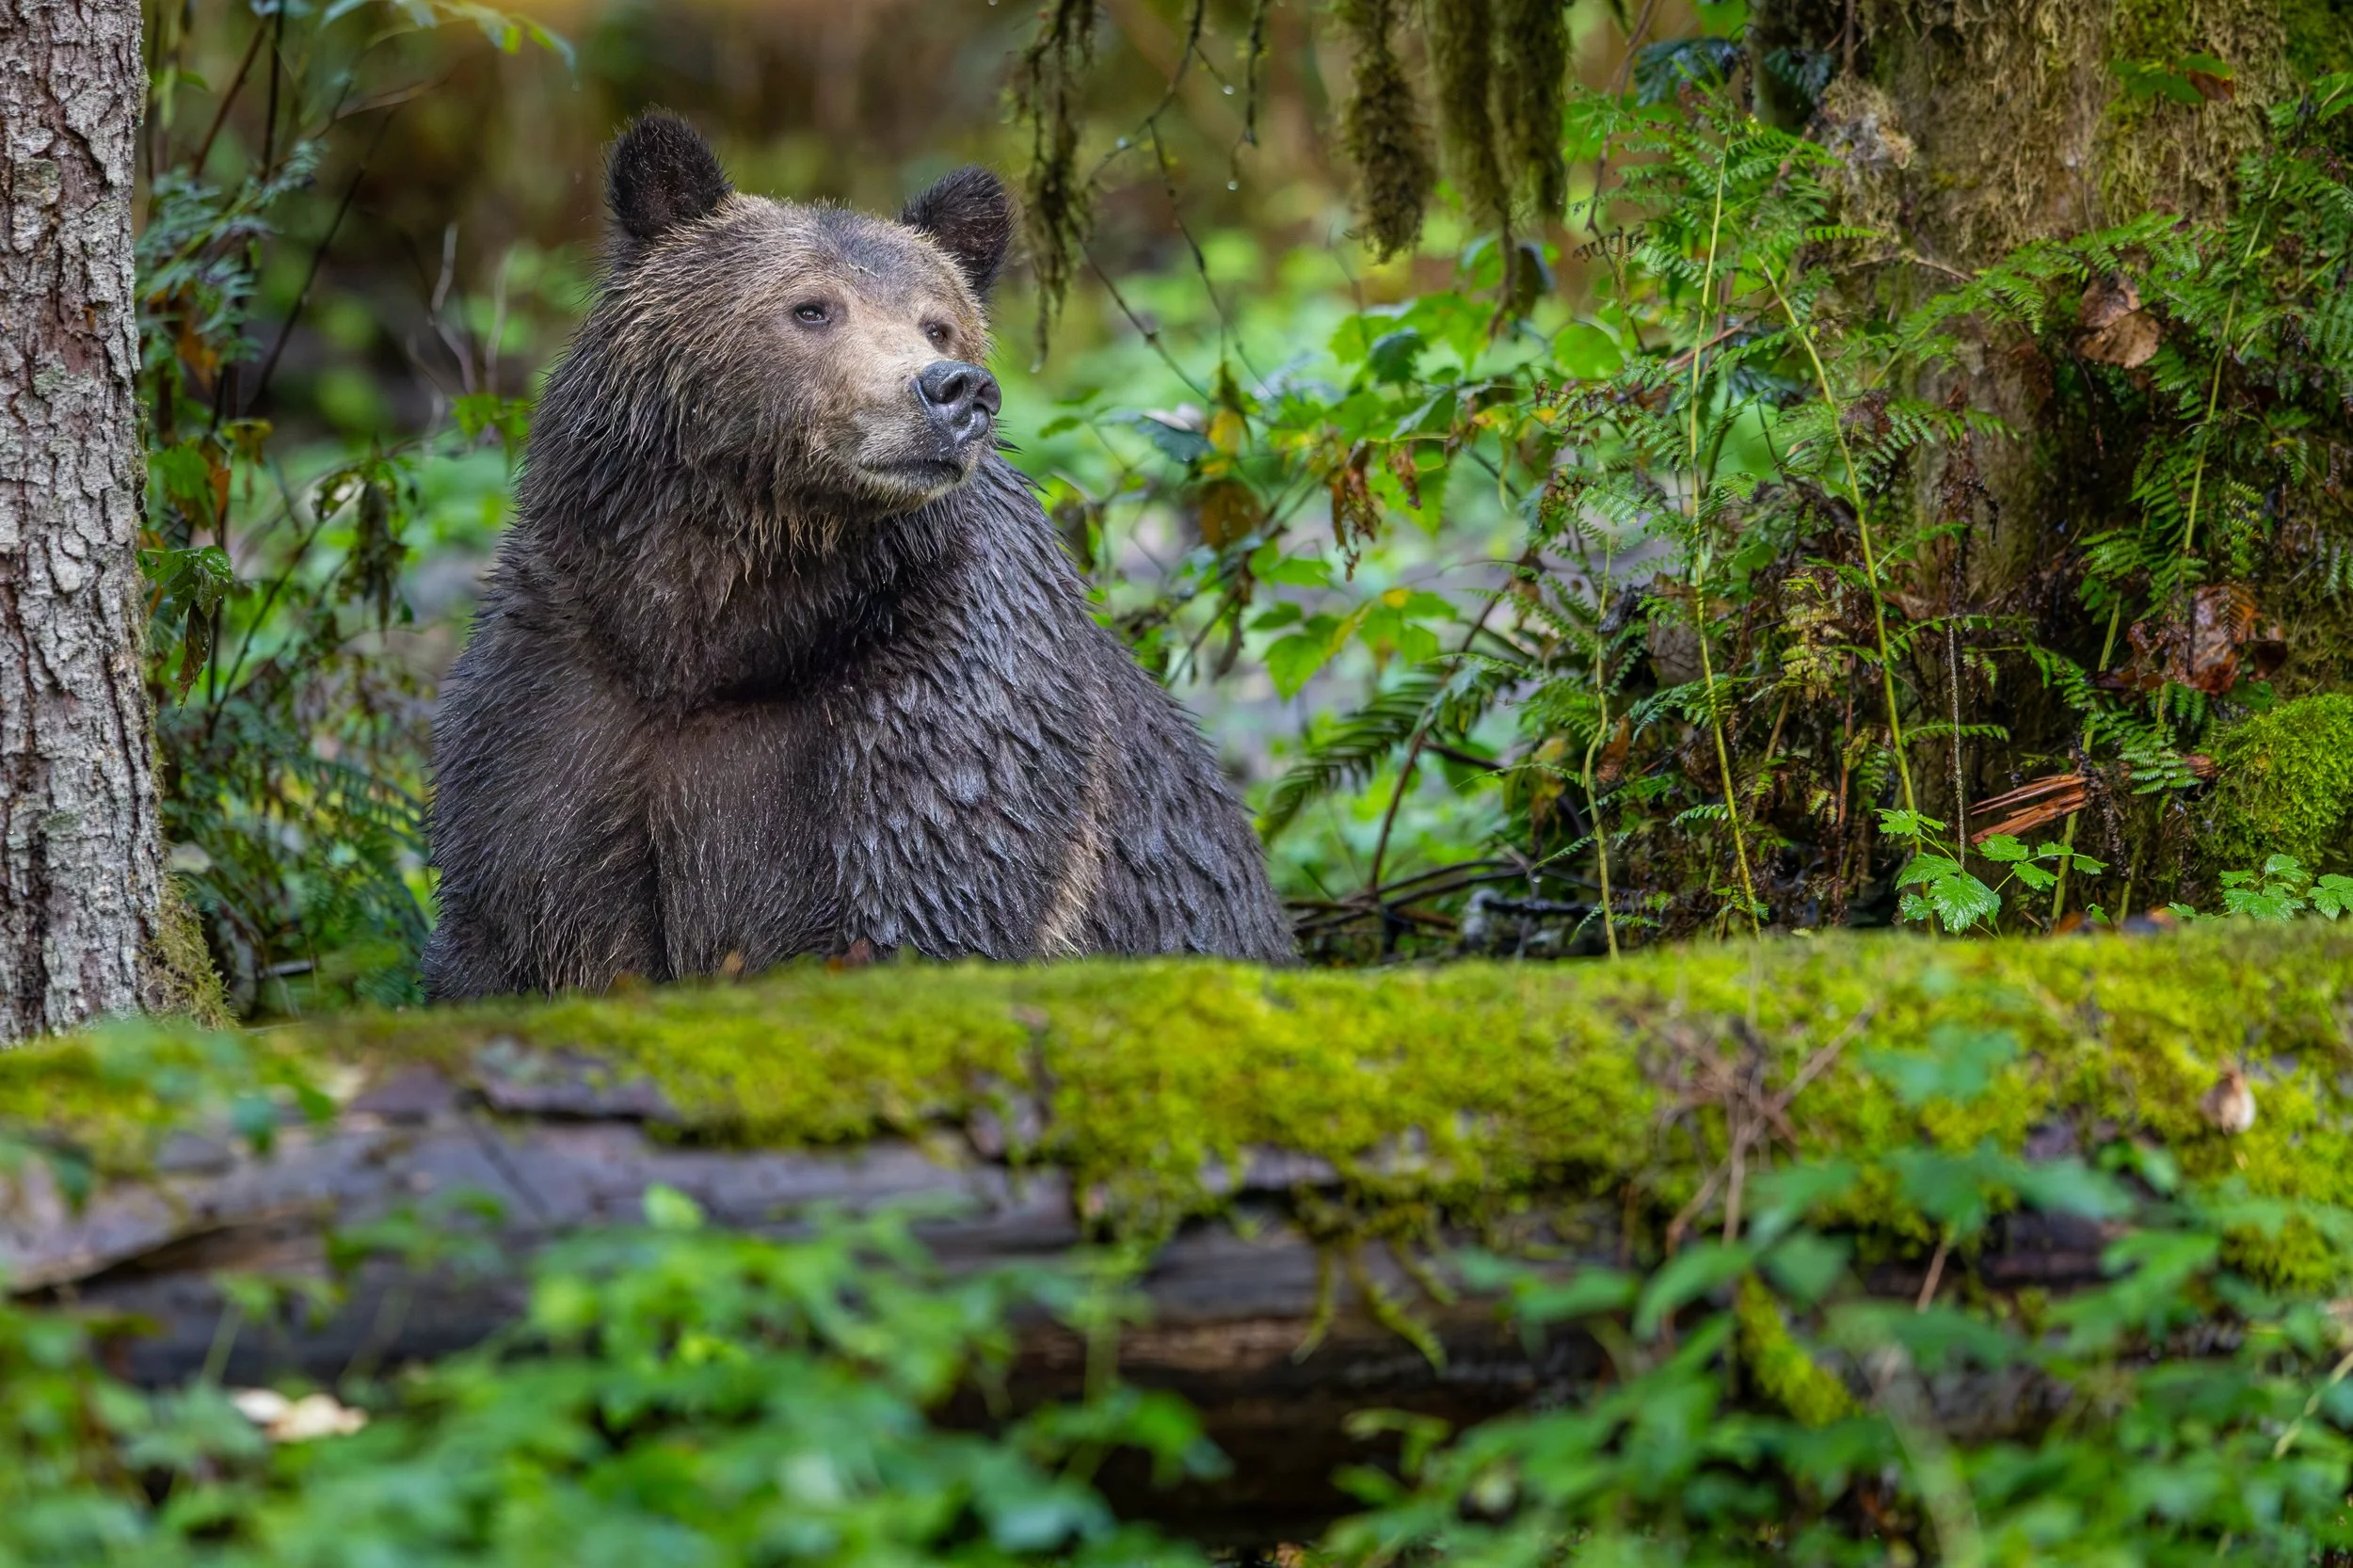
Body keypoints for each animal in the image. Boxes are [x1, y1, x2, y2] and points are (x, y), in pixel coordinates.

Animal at [420, 113, 1294, 999]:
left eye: (938, 322)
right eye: (812, 308)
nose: (955, 389)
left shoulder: (937, 696)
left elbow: (922, 900)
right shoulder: (561, 703)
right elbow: (525, 924)